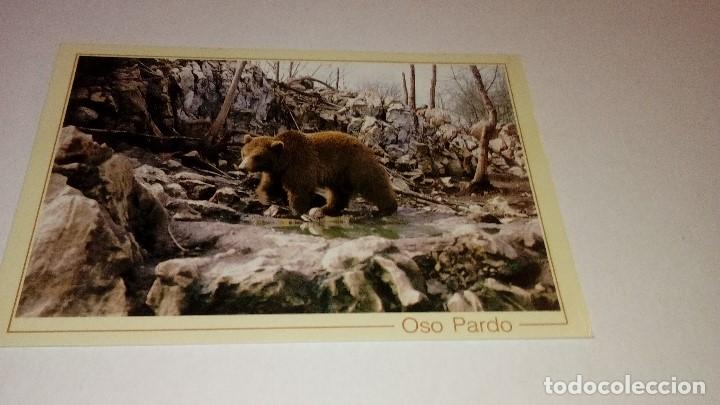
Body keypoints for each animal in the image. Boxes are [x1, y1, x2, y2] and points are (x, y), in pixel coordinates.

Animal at [239, 130, 398, 217]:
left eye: (256, 156)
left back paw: (388, 208)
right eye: (244, 153)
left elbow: (299, 189)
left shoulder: (300, 163)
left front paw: (295, 210)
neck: (284, 160)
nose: (242, 167)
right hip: (338, 175)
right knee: (338, 192)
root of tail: (365, 145)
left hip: (355, 164)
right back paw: (327, 208)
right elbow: (269, 186)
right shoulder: (276, 172)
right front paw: (266, 198)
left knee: (373, 183)